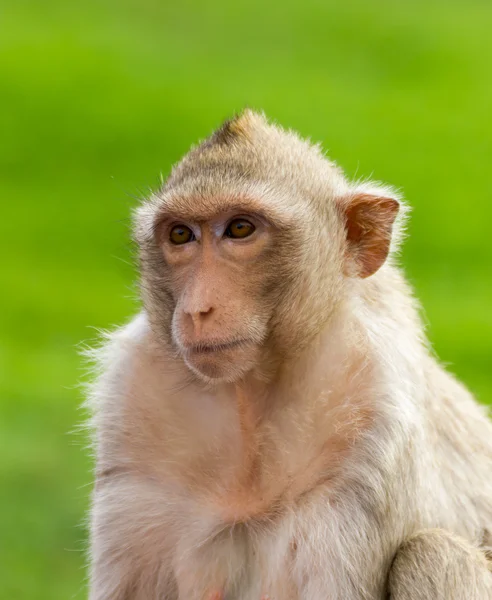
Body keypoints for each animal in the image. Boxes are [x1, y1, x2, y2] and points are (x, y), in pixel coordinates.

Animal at [87, 110, 492, 596]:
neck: (248, 396)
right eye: (181, 234)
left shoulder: (370, 425)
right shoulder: (131, 405)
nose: (197, 308)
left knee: (432, 552)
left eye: (240, 229)